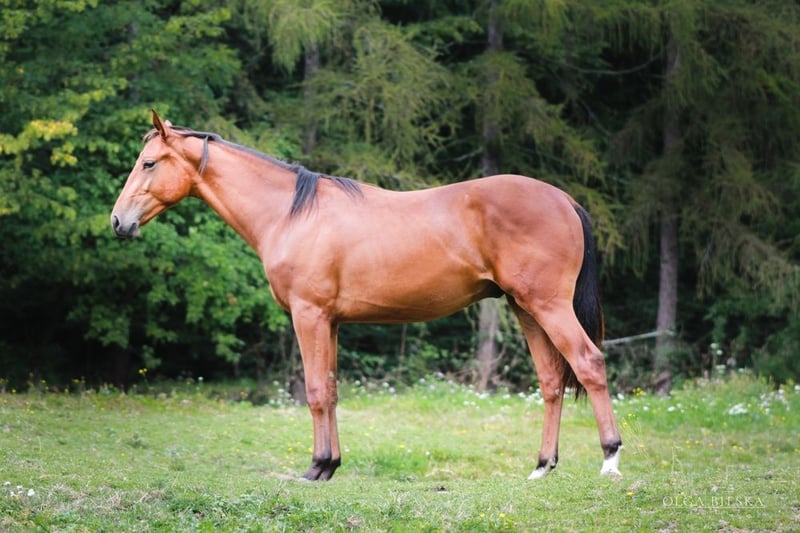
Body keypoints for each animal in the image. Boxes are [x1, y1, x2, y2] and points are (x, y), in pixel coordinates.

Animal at [111, 110, 622, 481]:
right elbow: (333, 390)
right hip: (526, 309)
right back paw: (542, 467)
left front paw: (315, 468)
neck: (291, 214)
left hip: (547, 306)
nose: (118, 222)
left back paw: (610, 459)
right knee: (552, 381)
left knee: (589, 364)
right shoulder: (331, 322)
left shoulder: (309, 315)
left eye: (149, 163)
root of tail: (564, 200)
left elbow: (316, 392)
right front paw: (331, 465)